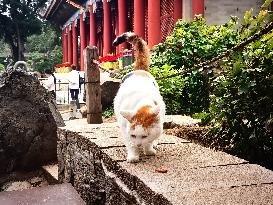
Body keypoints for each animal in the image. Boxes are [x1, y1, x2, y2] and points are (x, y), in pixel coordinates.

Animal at [112, 32, 165, 163]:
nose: (139, 144)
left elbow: (150, 141)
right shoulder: (125, 129)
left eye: (144, 136)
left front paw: (149, 150)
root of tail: (139, 70)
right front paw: (133, 156)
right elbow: (129, 144)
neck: (142, 102)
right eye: (133, 135)